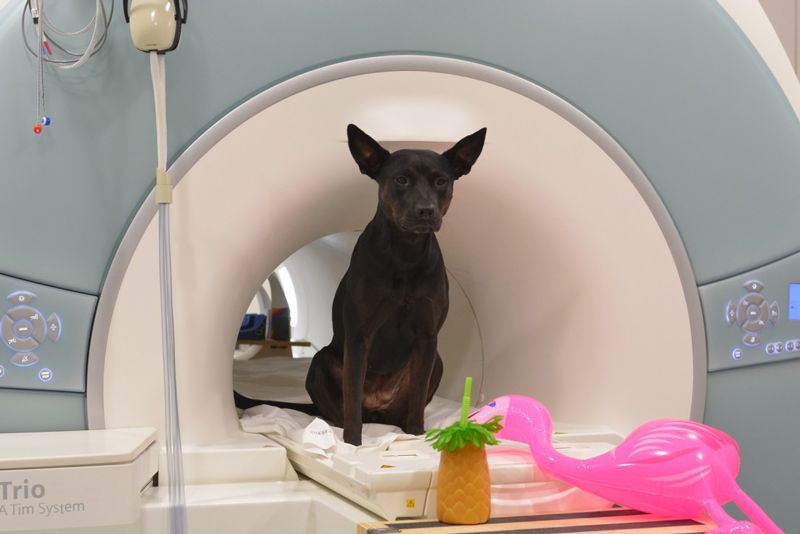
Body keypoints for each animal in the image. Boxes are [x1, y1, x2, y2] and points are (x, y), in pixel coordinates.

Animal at [306, 123, 488, 446]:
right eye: (401, 180)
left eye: (441, 181)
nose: (426, 210)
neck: (405, 252)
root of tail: (378, 409)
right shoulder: (359, 337)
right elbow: (352, 398)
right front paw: (353, 445)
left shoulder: (428, 338)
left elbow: (417, 399)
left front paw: (416, 435)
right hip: (320, 361)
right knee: (343, 408)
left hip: (437, 361)